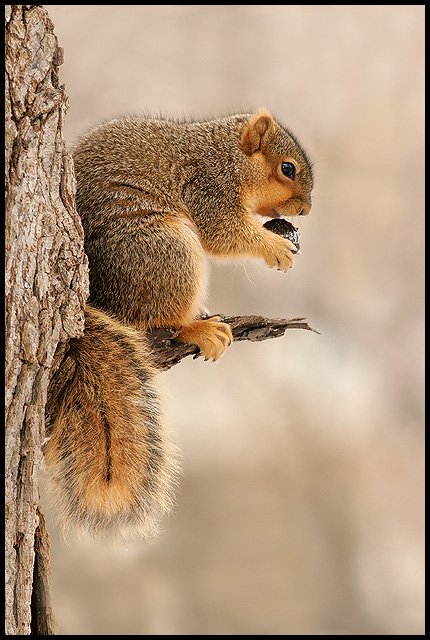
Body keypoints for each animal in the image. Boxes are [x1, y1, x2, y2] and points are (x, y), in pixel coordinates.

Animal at [45, 108, 313, 540]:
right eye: (287, 168)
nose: (304, 210)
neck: (228, 155)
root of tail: (95, 300)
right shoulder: (208, 187)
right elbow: (223, 233)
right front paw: (275, 247)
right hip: (166, 252)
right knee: (158, 319)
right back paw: (197, 329)